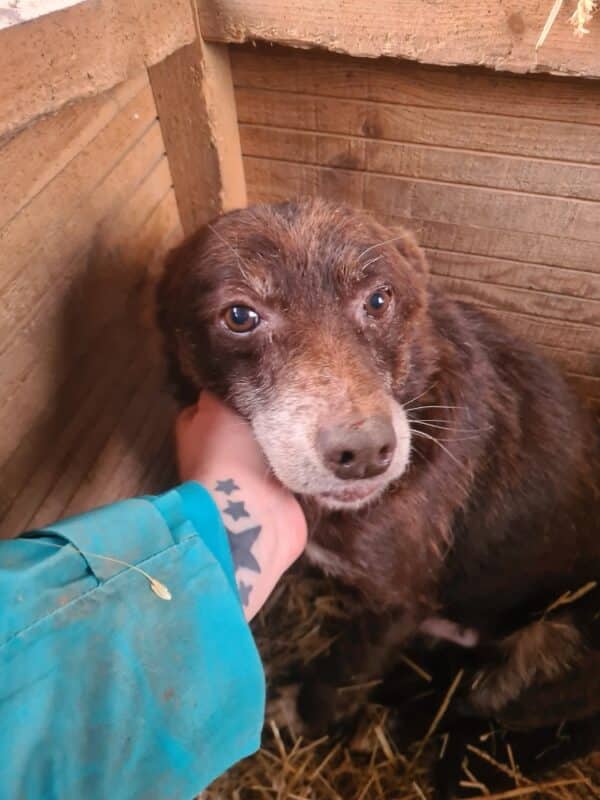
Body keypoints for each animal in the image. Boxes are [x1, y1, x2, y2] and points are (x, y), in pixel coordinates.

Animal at [157, 202, 596, 792]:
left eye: (378, 300)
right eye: (240, 316)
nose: (365, 452)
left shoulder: (398, 601)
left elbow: (342, 670)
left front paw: (304, 715)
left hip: (547, 643)